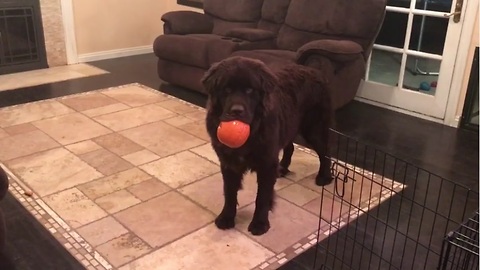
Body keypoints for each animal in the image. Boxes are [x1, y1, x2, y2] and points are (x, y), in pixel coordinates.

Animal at [201, 56, 332, 235]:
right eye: (226, 89)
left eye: (249, 90)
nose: (236, 111)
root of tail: (314, 70)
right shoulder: (228, 162)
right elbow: (229, 192)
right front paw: (226, 217)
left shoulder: (266, 164)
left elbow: (262, 197)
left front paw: (260, 223)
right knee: (290, 147)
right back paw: (283, 168)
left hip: (313, 129)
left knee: (326, 152)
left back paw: (325, 177)